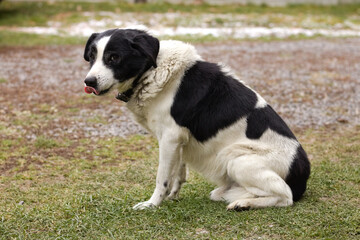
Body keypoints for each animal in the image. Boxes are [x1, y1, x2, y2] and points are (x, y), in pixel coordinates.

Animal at [83, 28, 310, 210]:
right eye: (92, 57)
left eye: (114, 57)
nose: (89, 82)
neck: (151, 71)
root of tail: (303, 173)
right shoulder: (178, 141)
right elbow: (178, 172)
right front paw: (173, 195)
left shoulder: (169, 138)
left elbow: (162, 178)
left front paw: (152, 204)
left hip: (238, 159)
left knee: (285, 196)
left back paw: (243, 203)